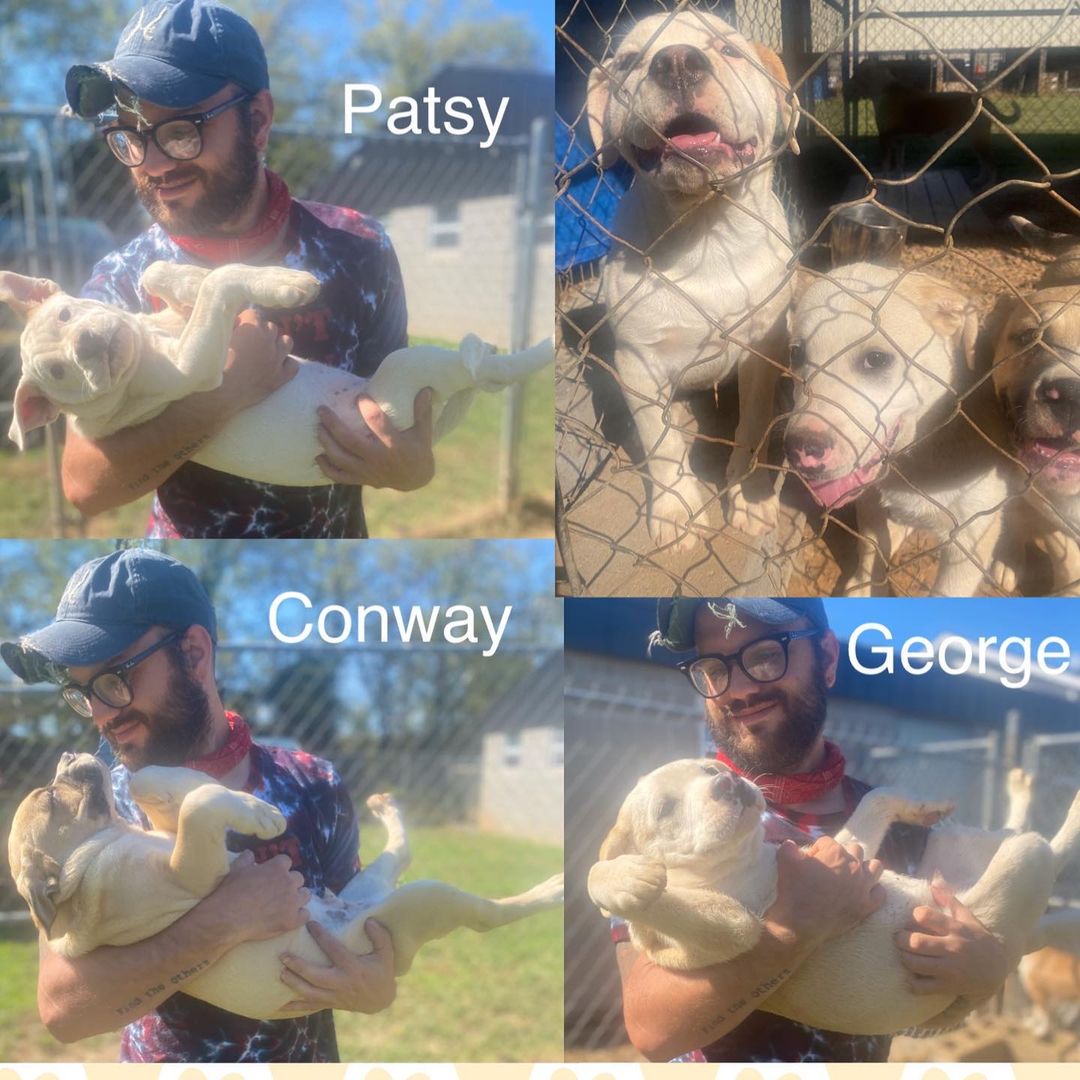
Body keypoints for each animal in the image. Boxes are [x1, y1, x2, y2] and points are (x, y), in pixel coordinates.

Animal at [0, 261, 552, 486]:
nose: (86, 344)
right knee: (482, 373)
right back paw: (533, 350)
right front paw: (285, 284)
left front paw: (210, 273)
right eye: (58, 371)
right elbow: (221, 284)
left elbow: (163, 273)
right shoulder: (194, 364)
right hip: (403, 376)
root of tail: (434, 426)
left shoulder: (175, 321)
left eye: (66, 315)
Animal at [10, 756, 565, 1015]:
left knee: (401, 851)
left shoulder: (171, 835)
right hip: (420, 901)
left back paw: (387, 807)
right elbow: (197, 807)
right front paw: (259, 812)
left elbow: (159, 782)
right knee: (489, 914)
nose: (68, 755)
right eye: (51, 797)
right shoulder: (190, 868)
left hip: (369, 885)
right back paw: (554, 889)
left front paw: (243, 802)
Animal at [587, 9, 799, 548]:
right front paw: (675, 507)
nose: (677, 61)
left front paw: (748, 495)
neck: (707, 235)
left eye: (730, 49)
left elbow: (752, 422)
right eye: (629, 61)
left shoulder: (760, 347)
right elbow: (658, 443)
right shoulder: (636, 360)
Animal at [591, 760, 1080, 1036]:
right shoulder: (731, 930)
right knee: (1046, 850)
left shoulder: (848, 850)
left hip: (980, 855)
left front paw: (921, 806)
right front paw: (623, 880)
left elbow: (877, 799)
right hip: (1018, 867)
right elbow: (636, 892)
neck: (743, 861)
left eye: (708, 770)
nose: (726, 780)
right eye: (666, 809)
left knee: (1030, 842)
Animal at [781, 263, 1015, 600]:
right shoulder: (869, 504)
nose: (800, 448)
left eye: (876, 359)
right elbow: (870, 554)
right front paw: (863, 589)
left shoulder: (969, 541)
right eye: (797, 355)